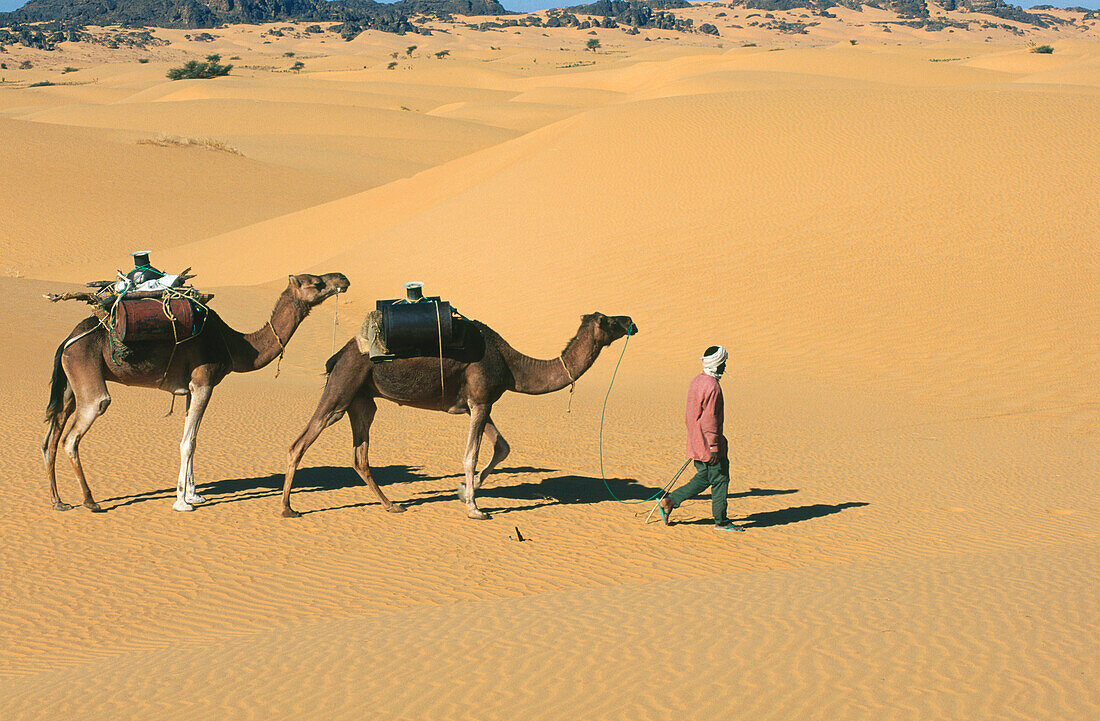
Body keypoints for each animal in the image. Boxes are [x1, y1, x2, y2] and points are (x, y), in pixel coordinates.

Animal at [44, 270, 347, 512]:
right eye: (317, 283)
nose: (343, 279)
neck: (233, 344)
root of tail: (67, 340)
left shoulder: (190, 388)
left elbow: (192, 438)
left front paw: (194, 494)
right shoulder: (204, 382)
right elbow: (188, 442)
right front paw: (182, 502)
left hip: (71, 383)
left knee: (51, 436)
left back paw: (58, 501)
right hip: (87, 374)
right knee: (74, 433)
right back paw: (90, 500)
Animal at [281, 312, 638, 521]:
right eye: (609, 321)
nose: (630, 320)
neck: (512, 365)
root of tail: (339, 354)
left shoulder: (478, 403)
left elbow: (502, 447)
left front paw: (465, 490)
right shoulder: (480, 401)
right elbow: (471, 455)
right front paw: (475, 508)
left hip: (363, 401)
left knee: (360, 456)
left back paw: (392, 504)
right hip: (341, 389)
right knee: (300, 442)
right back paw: (287, 508)